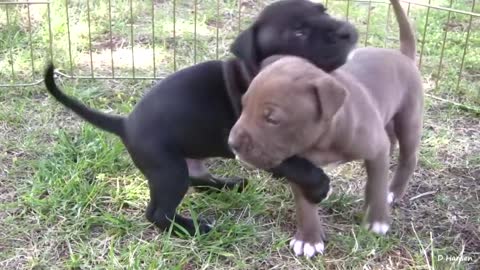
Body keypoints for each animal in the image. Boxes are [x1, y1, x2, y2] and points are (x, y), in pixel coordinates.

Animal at [42, 0, 356, 236]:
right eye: (299, 32)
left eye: (324, 10)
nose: (348, 31)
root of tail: (125, 124)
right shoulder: (260, 143)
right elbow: (299, 165)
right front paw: (319, 187)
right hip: (169, 171)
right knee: (158, 213)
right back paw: (191, 228)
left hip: (183, 163)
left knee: (199, 180)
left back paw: (229, 185)